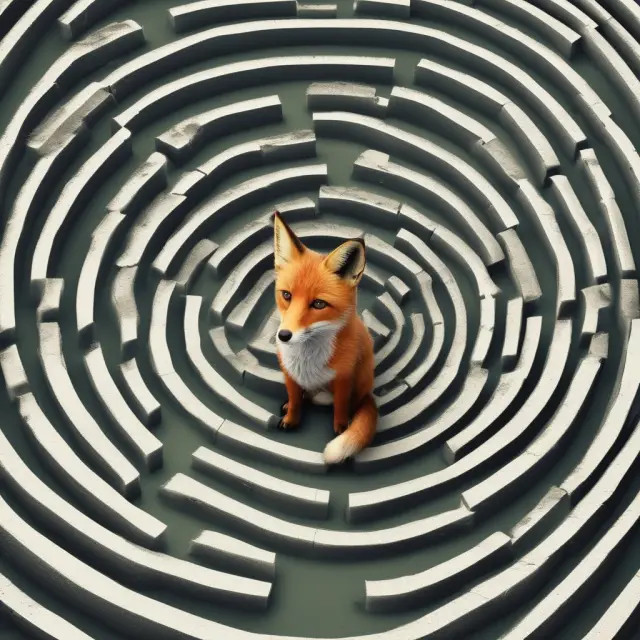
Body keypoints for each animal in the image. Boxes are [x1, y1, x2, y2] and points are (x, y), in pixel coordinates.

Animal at [272, 210, 378, 465]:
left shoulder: (344, 378)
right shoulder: (289, 373)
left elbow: (340, 409)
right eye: (286, 295)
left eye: (319, 304)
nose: (284, 336)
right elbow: (295, 400)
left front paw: (341, 429)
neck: (307, 362)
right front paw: (291, 418)